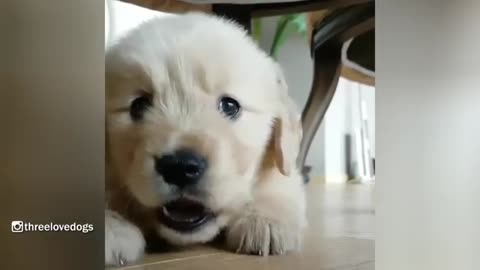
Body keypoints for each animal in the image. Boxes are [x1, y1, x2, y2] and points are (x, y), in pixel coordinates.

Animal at [105, 12, 308, 266]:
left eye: (230, 106)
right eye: (138, 106)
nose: (180, 167)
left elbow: (279, 183)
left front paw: (265, 220)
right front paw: (111, 229)